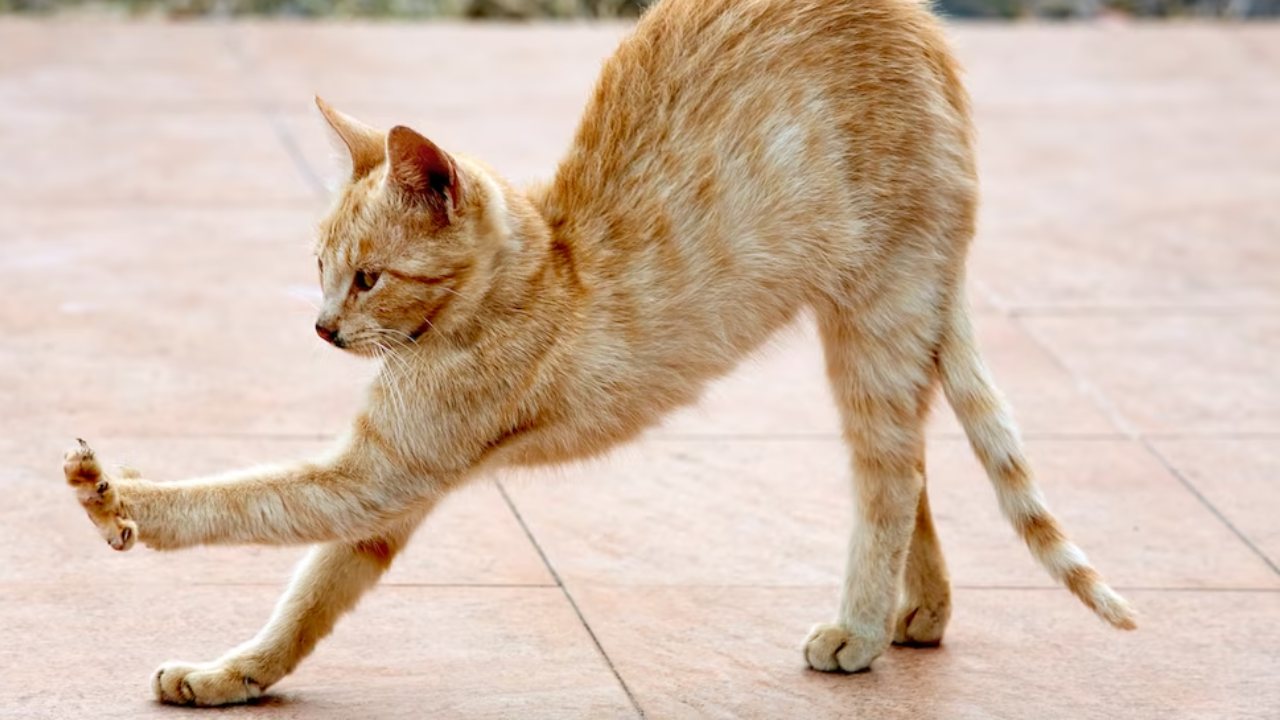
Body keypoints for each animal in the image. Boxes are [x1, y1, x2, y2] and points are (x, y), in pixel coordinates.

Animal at [64, 0, 1136, 702]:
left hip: (876, 318)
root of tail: (925, 28)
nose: (323, 328)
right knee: (914, 464)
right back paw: (925, 614)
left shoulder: (380, 472)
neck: (535, 272)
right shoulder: (386, 494)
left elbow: (237, 500)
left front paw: (121, 501)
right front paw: (235, 673)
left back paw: (862, 630)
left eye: (366, 278)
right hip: (875, 326)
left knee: (890, 473)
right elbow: (308, 596)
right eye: (319, 270)